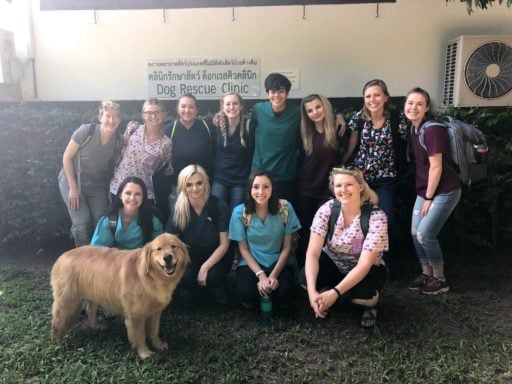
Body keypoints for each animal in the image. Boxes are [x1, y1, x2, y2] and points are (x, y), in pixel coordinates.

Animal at [50, 232, 189, 358]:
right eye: (158, 249)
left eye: (173, 246)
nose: (167, 257)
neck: (150, 277)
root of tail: (61, 256)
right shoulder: (136, 314)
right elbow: (140, 335)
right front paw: (144, 352)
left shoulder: (156, 311)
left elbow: (154, 331)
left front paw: (158, 344)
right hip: (67, 301)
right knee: (56, 320)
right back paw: (56, 341)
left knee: (90, 311)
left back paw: (96, 326)